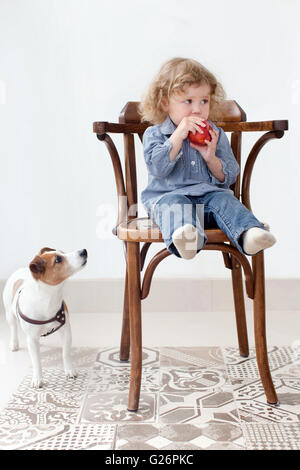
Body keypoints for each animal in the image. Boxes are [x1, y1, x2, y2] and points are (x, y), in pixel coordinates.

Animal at [2, 248, 87, 388]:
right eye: (58, 259)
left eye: (63, 252)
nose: (84, 251)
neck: (48, 298)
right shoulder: (31, 338)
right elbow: (36, 361)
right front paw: (38, 379)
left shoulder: (66, 330)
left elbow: (66, 353)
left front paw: (69, 370)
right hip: (9, 313)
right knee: (13, 327)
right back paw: (14, 344)